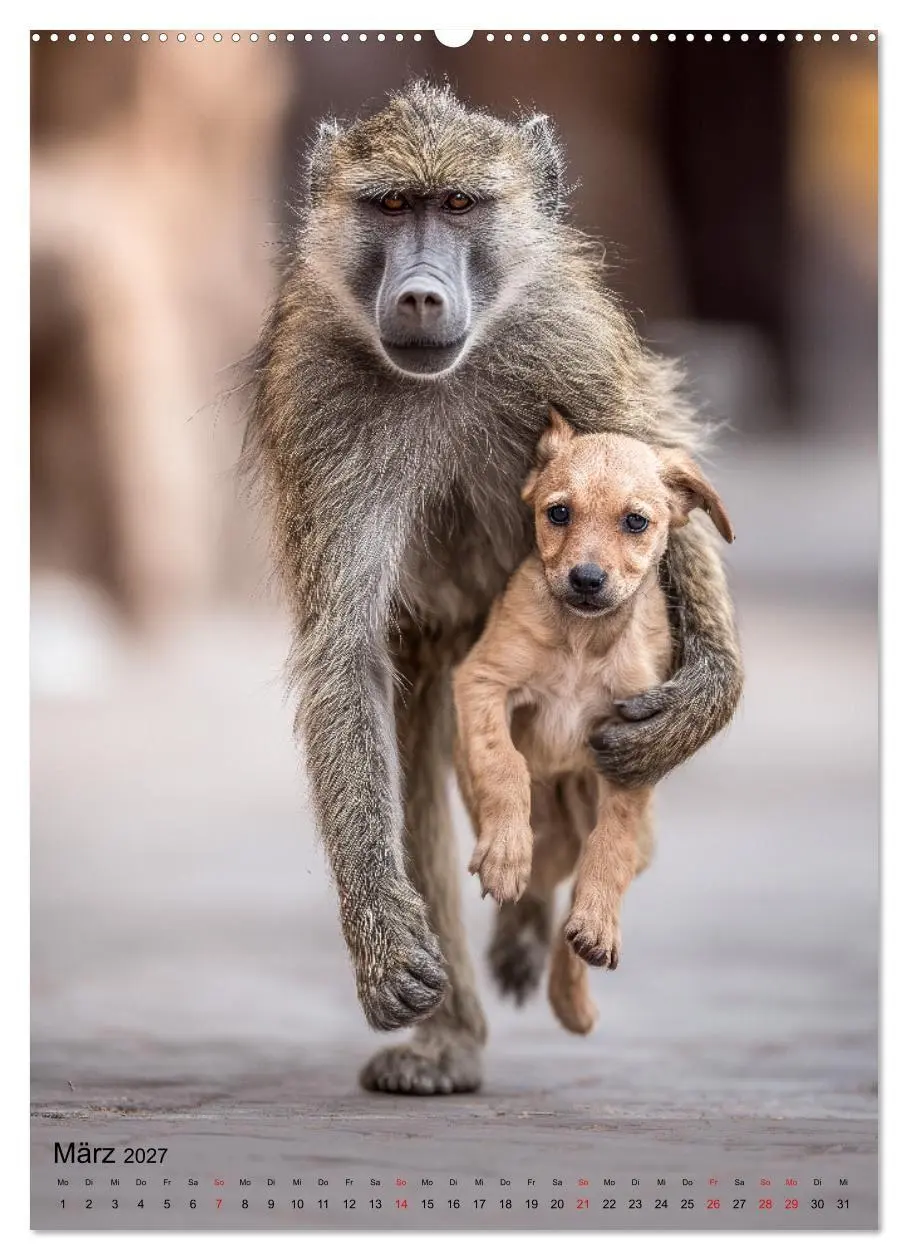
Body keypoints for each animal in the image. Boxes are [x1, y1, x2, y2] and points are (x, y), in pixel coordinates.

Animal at [244, 81, 743, 1095]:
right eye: (394, 205)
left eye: (460, 205)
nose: (421, 292)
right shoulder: (316, 392)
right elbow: (344, 654)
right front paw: (389, 948)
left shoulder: (568, 336)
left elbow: (657, 464)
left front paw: (705, 695)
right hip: (452, 657)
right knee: (420, 767)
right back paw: (451, 1036)